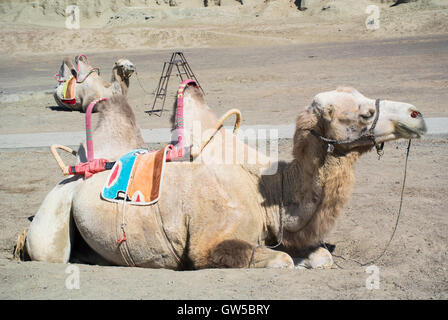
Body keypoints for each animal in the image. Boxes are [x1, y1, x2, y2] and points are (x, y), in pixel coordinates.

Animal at [23, 84, 428, 268]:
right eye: (363, 113)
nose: (416, 115)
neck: (268, 191)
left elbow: (318, 257)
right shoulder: (210, 244)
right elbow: (280, 261)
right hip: (56, 209)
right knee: (47, 252)